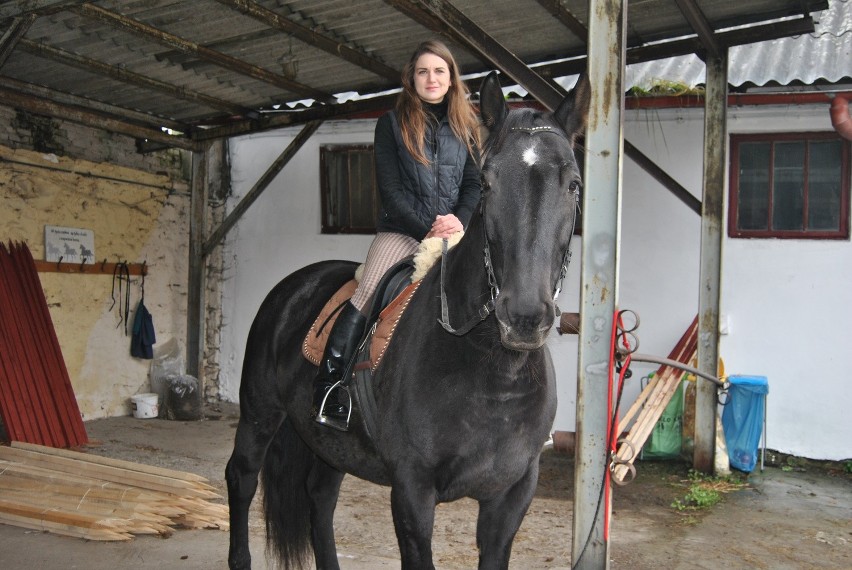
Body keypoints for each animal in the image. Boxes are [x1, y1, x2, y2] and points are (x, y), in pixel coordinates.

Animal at [223, 72, 588, 568]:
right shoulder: (413, 493)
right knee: (241, 477)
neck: (492, 368)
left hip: (330, 444)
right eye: (487, 184)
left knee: (320, 497)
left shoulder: (510, 500)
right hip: (260, 413)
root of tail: (293, 286)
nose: (525, 316)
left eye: (573, 184)